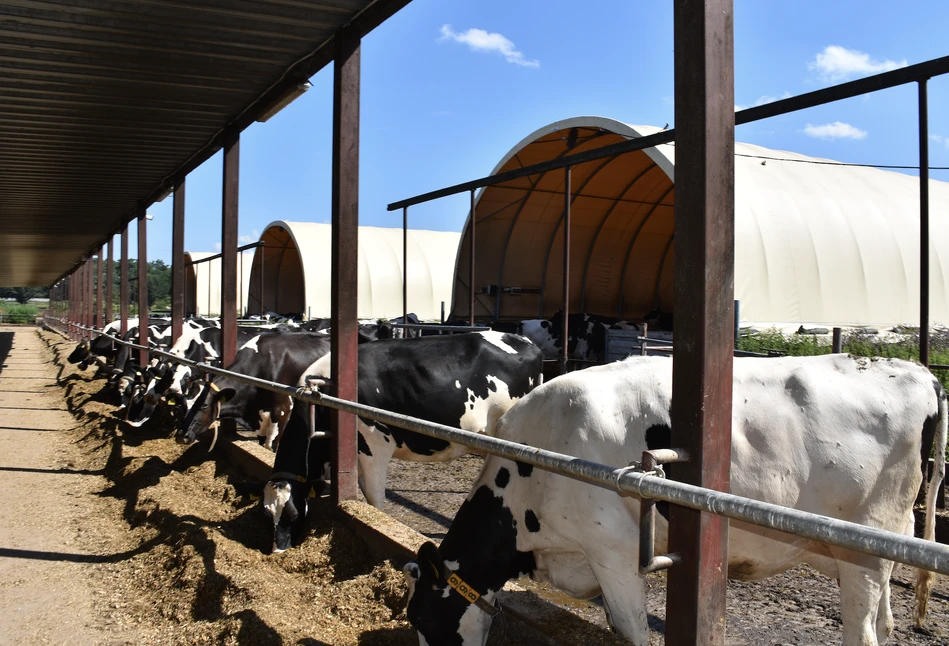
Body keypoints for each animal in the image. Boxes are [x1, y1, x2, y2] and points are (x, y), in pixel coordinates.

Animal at [260, 334, 540, 552]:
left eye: (292, 514)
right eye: (266, 513)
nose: (277, 552)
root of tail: (525, 341)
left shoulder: (374, 446)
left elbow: (374, 497)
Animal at [402, 354, 948, 646]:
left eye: (423, 618)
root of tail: (916, 371)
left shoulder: (613, 551)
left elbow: (634, 632)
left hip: (864, 551)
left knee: (865, 632)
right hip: (880, 550)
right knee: (886, 624)